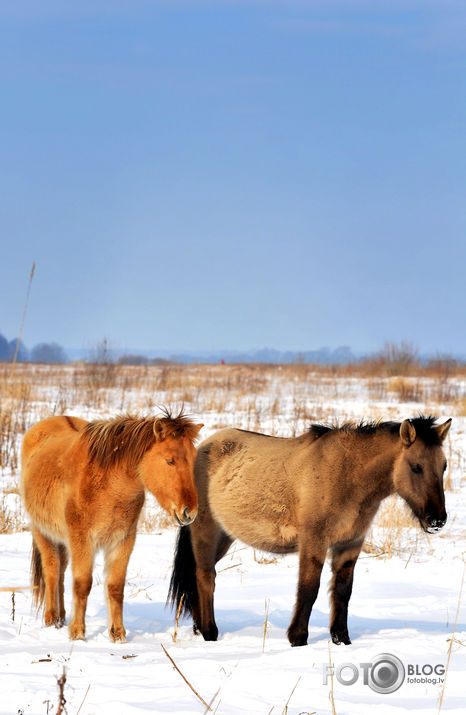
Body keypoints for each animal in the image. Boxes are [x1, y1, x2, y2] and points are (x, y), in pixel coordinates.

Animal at [21, 412, 202, 640]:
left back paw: (61, 618)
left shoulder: (123, 540)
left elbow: (115, 587)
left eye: (194, 460)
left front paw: (117, 634)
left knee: (61, 573)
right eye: (170, 460)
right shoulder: (82, 539)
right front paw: (78, 633)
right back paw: (52, 619)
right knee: (52, 571)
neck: (109, 485)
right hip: (43, 533)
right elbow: (82, 584)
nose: (190, 512)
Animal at [169, 416, 450, 648]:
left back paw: (199, 628)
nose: (438, 520)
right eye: (415, 466)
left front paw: (341, 639)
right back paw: (210, 632)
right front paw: (298, 639)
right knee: (206, 577)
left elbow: (343, 591)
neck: (348, 474)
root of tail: (203, 448)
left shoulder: (350, 543)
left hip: (224, 536)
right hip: (206, 531)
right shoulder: (314, 541)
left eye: (444, 466)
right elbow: (308, 589)